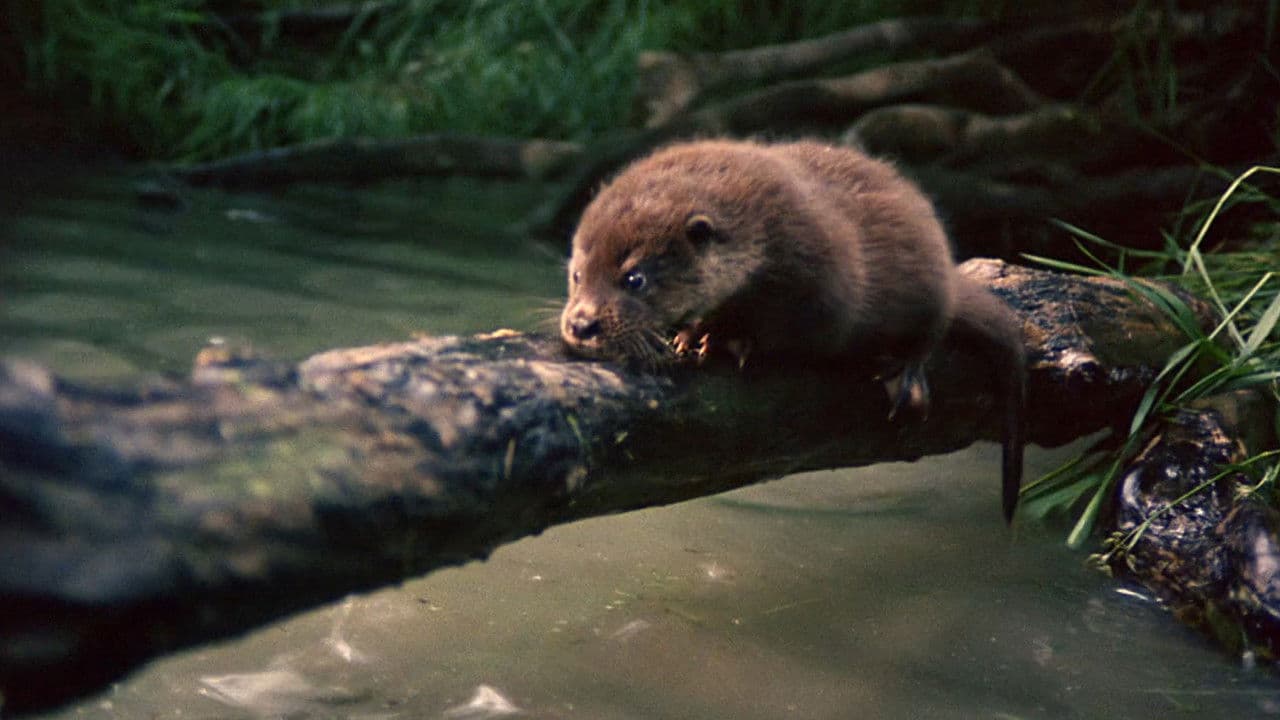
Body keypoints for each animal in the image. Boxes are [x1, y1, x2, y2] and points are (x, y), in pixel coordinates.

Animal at [559, 139, 1025, 522]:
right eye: (578, 274)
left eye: (634, 278)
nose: (581, 324)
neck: (763, 233)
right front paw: (691, 335)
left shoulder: (822, 285)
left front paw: (723, 337)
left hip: (930, 285)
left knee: (931, 332)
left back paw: (905, 378)